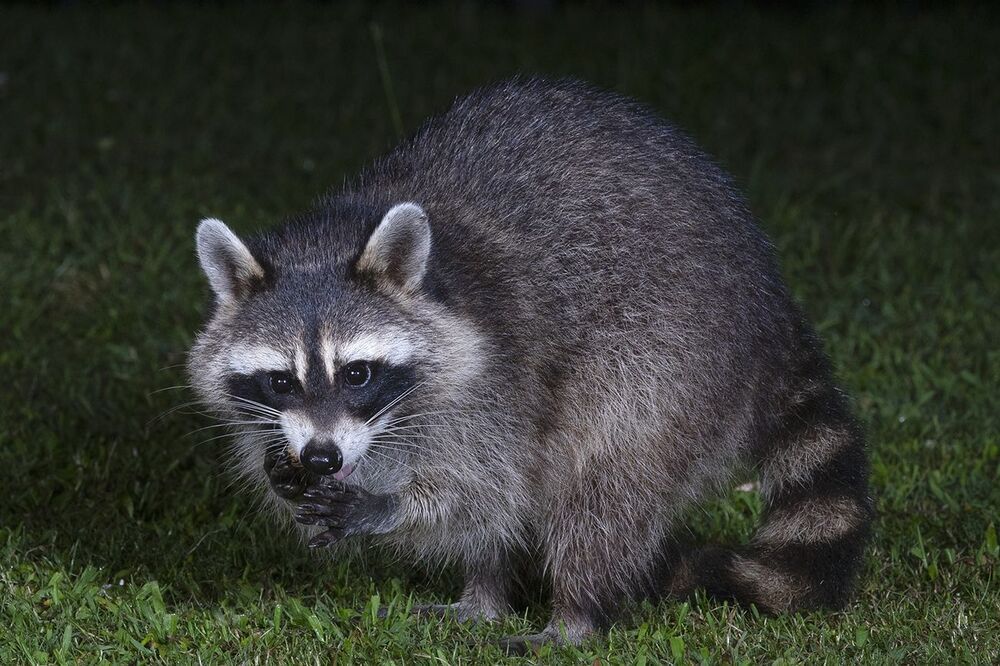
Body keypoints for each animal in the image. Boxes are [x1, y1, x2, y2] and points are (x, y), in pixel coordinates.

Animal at [188, 77, 872, 651]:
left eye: (357, 372)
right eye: (281, 380)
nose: (322, 458)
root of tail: (770, 301)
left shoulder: (502, 372)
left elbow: (491, 490)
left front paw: (391, 506)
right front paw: (288, 475)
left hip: (673, 356)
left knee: (601, 482)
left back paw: (575, 614)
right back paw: (485, 593)